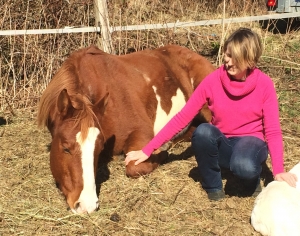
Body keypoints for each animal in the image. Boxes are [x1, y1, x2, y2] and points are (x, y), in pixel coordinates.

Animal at [37, 44, 216, 214]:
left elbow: (134, 166)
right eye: (65, 148)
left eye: (98, 149)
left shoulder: (142, 132)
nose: (86, 205)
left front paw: (161, 152)